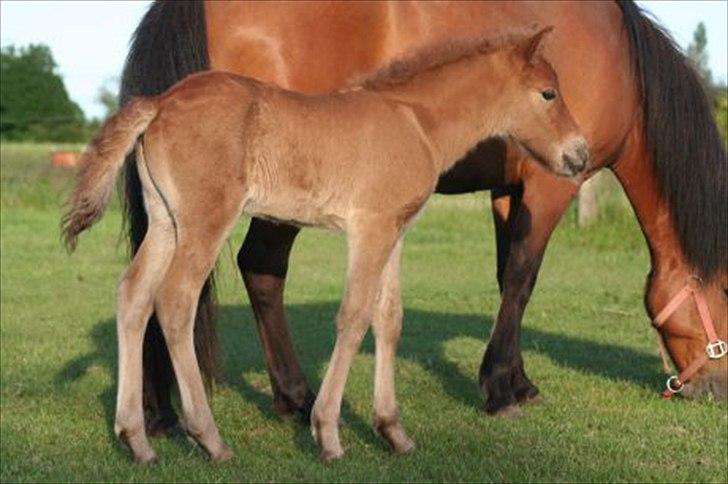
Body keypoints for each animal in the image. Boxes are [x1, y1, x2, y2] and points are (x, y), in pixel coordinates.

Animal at [61, 27, 584, 466]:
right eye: (548, 93)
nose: (579, 155)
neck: (415, 122)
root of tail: (161, 102)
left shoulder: (393, 232)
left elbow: (388, 319)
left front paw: (393, 432)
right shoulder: (369, 230)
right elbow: (353, 318)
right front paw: (328, 434)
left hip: (166, 222)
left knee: (133, 296)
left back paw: (136, 440)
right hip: (205, 221)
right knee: (174, 301)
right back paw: (209, 438)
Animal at [116, 0, 724, 432]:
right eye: (726, 294)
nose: (713, 389)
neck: (621, 59)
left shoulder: (507, 190)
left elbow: (506, 278)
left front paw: (516, 380)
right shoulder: (552, 184)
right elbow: (523, 279)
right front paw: (500, 391)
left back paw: (159, 411)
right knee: (258, 269)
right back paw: (297, 398)